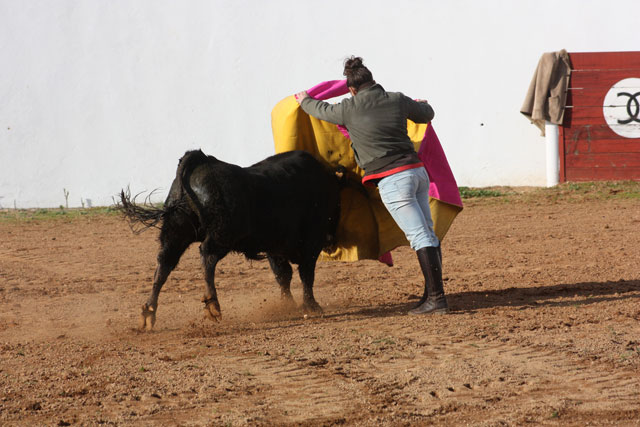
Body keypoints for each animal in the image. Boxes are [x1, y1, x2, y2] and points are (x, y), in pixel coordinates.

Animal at [117, 150, 342, 332]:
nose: (332, 240)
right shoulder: (311, 241)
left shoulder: (274, 247)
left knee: (164, 263)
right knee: (207, 255)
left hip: (176, 231)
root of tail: (200, 160)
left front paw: (288, 305)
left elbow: (283, 275)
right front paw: (311, 305)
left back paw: (148, 312)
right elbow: (305, 274)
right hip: (222, 233)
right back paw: (212, 305)